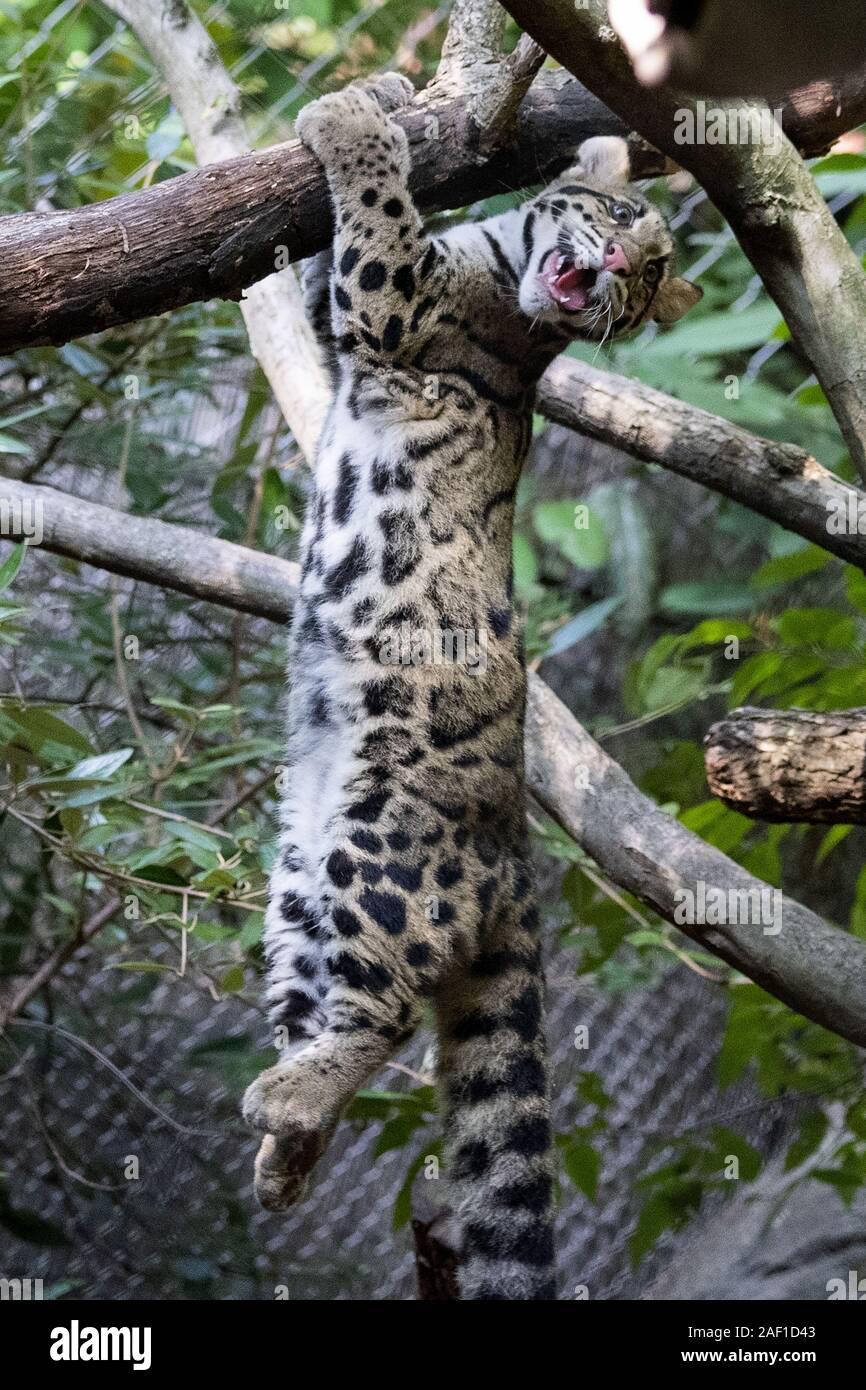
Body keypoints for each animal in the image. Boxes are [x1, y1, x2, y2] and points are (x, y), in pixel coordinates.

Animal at [244, 70, 706, 1295]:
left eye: (652, 274)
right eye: (626, 221)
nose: (627, 267)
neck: (501, 258)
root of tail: (512, 856)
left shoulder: (394, 301)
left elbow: (374, 212)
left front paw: (349, 121)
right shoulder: (348, 321)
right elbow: (325, 259)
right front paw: (386, 88)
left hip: (379, 853)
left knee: (386, 1010)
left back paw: (284, 1100)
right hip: (298, 878)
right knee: (334, 1007)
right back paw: (286, 1155)